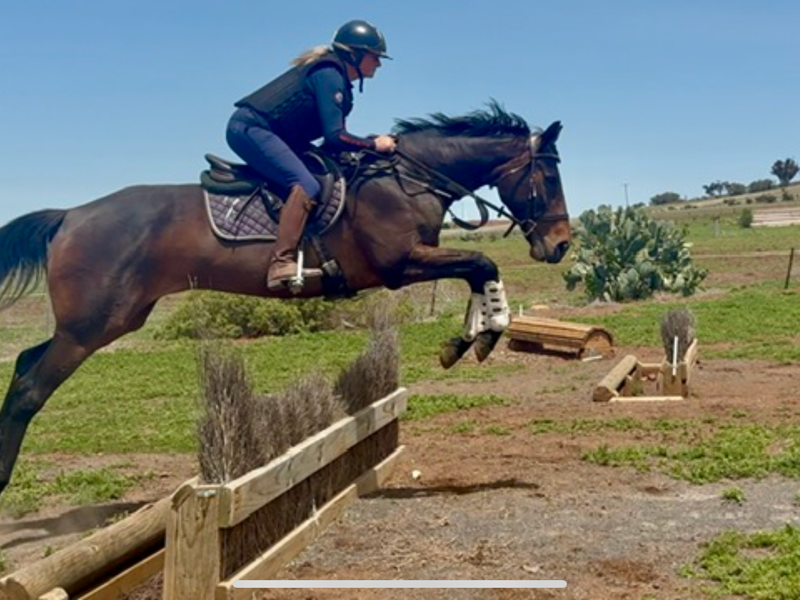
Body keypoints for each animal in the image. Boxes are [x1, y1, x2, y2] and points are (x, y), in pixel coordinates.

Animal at [0, 102, 570, 496]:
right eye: (547, 176)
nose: (561, 244)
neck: (406, 179)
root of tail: (69, 216)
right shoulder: (398, 264)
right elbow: (482, 264)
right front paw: (483, 335)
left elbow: (478, 271)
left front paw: (470, 339)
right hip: (93, 325)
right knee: (30, 388)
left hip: (107, 321)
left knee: (26, 362)